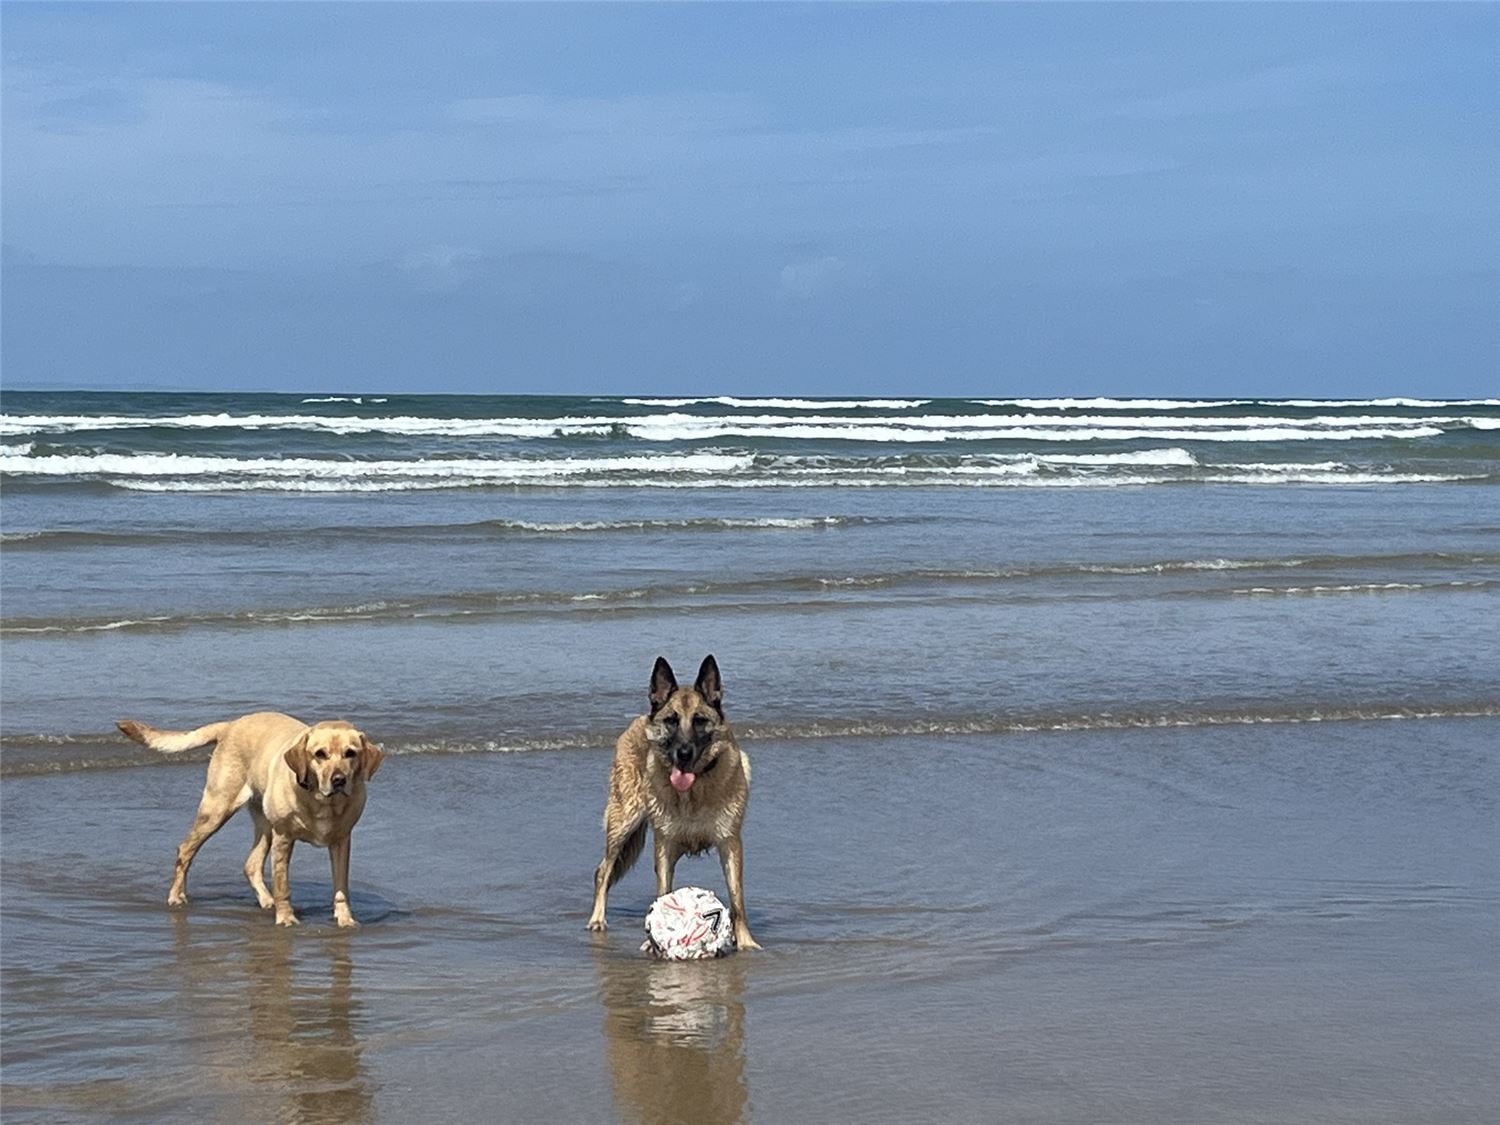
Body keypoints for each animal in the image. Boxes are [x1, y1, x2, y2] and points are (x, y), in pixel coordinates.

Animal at [119, 708, 384, 930]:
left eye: (351, 753)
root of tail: (230, 725)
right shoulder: (283, 838)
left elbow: (341, 887)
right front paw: (286, 918)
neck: (322, 801)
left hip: (263, 824)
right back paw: (176, 896)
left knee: (251, 864)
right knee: (185, 849)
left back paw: (266, 900)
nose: (339, 780)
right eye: (320, 754)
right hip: (217, 809)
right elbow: (282, 885)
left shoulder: (341, 841)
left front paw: (345, 919)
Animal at [588, 651, 762, 954]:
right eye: (671, 720)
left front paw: (745, 941)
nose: (683, 754)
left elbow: (737, 899)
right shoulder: (664, 847)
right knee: (604, 870)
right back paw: (597, 919)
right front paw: (653, 941)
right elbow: (663, 891)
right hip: (624, 822)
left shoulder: (730, 844)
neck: (694, 791)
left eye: (699, 720)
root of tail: (638, 720)